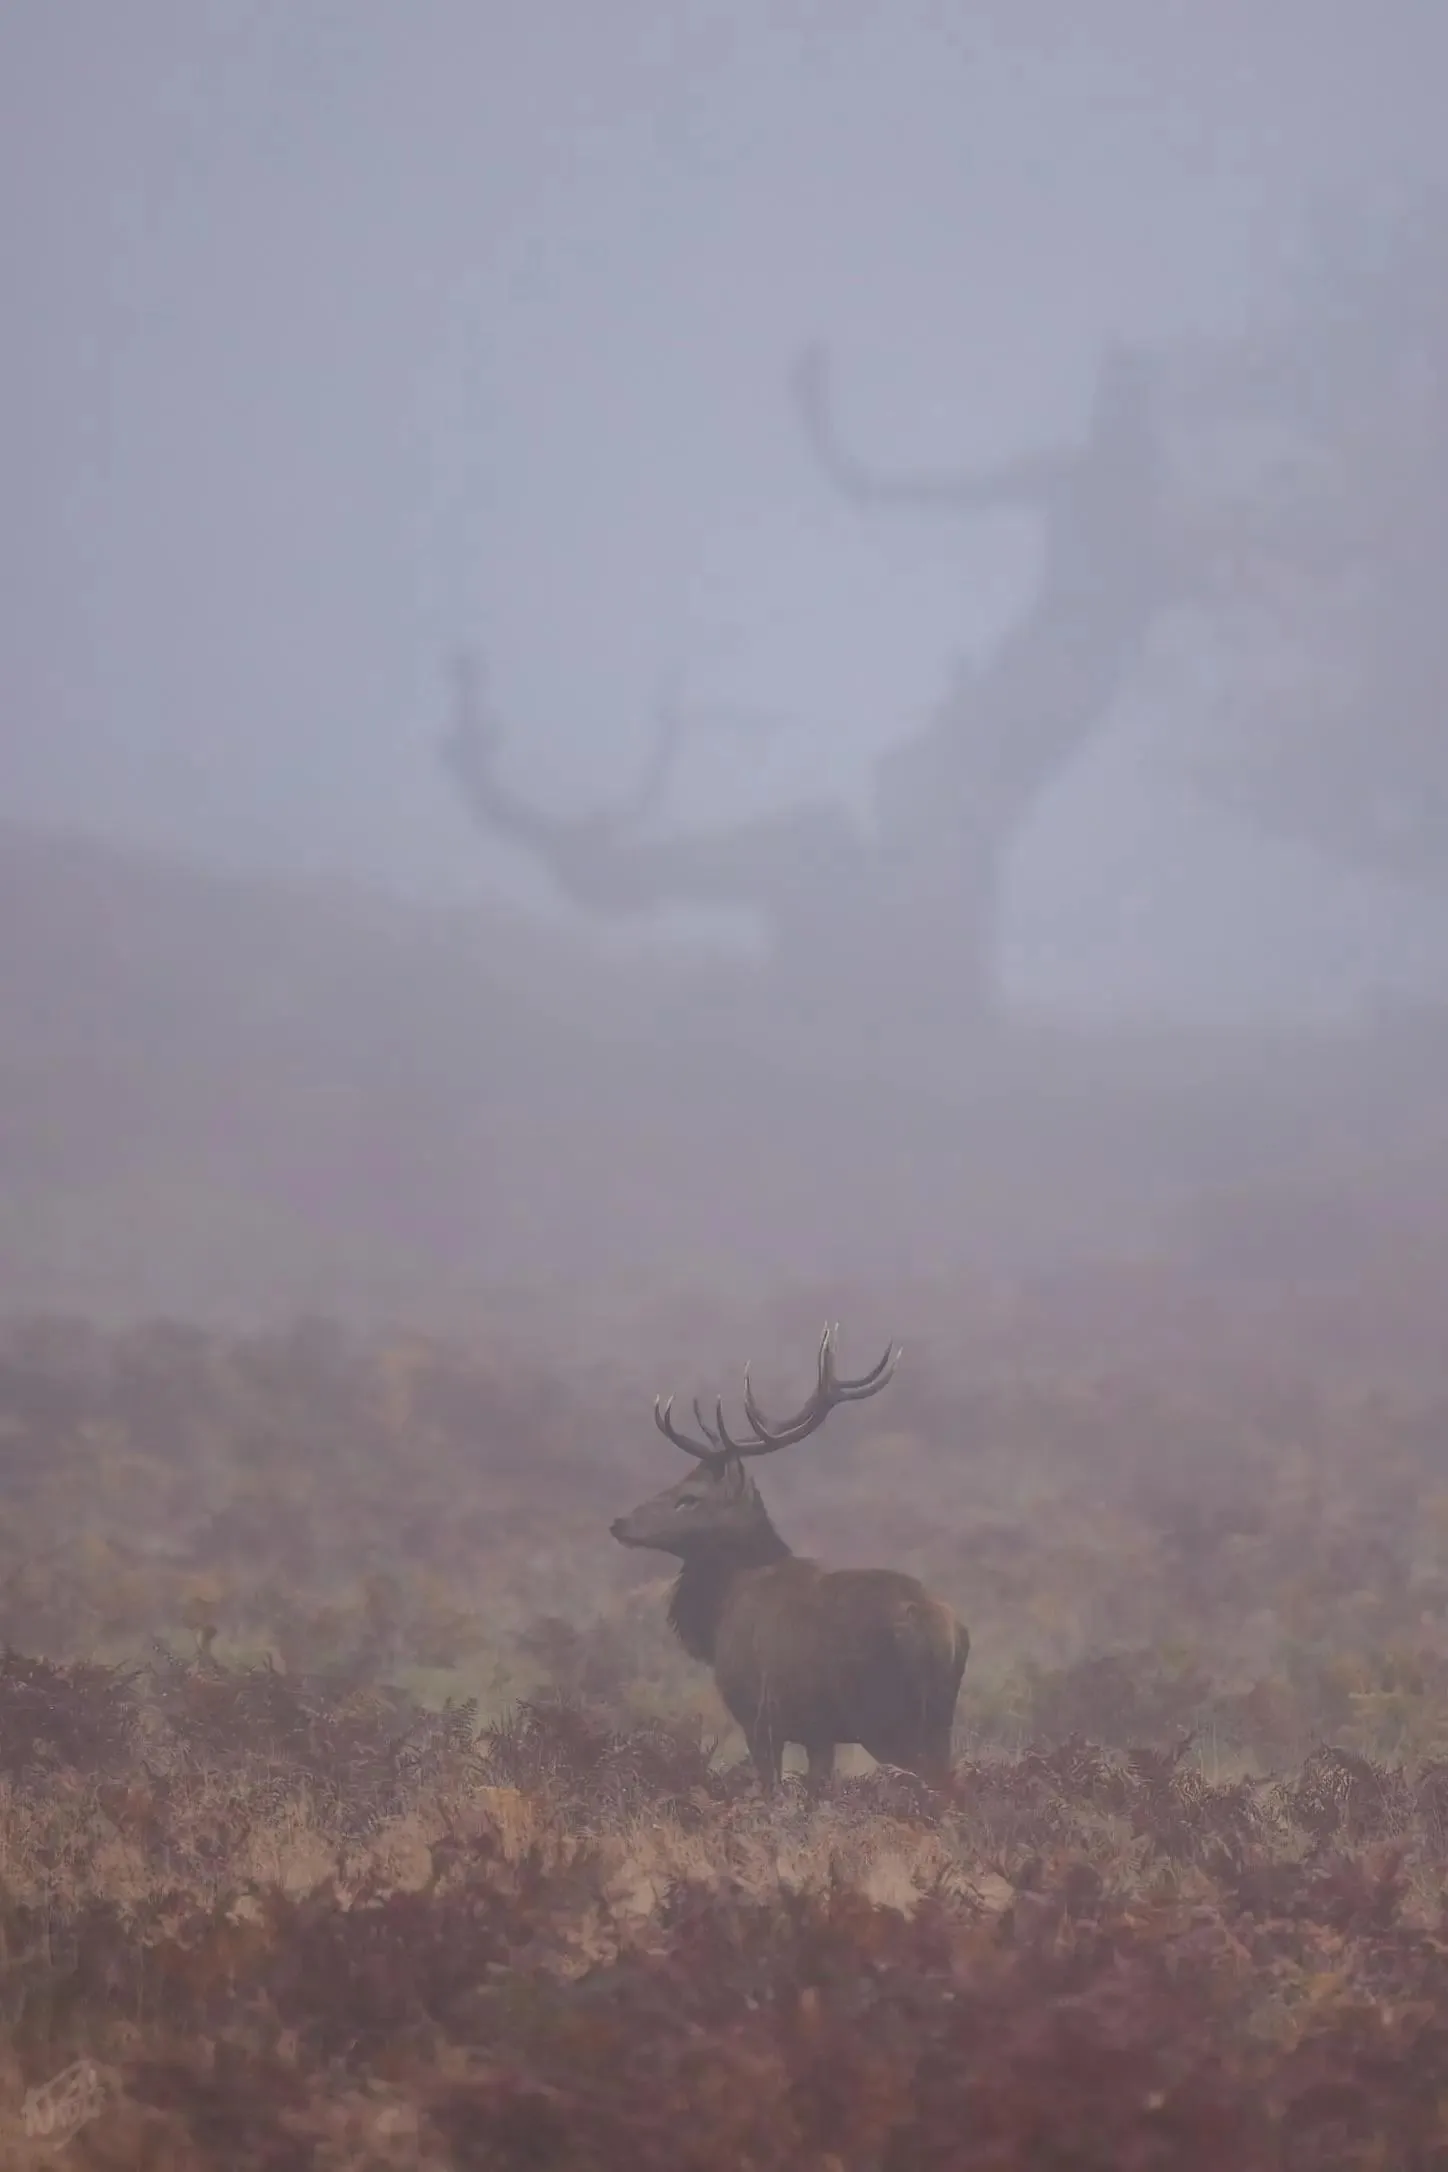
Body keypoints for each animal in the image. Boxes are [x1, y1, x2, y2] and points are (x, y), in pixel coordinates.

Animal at [610, 1325, 969, 1794]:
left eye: (689, 1498)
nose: (619, 1523)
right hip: (940, 1719)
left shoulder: (758, 1716)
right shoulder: (818, 1733)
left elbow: (771, 1788)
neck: (719, 1613)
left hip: (887, 1719)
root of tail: (945, 1633)